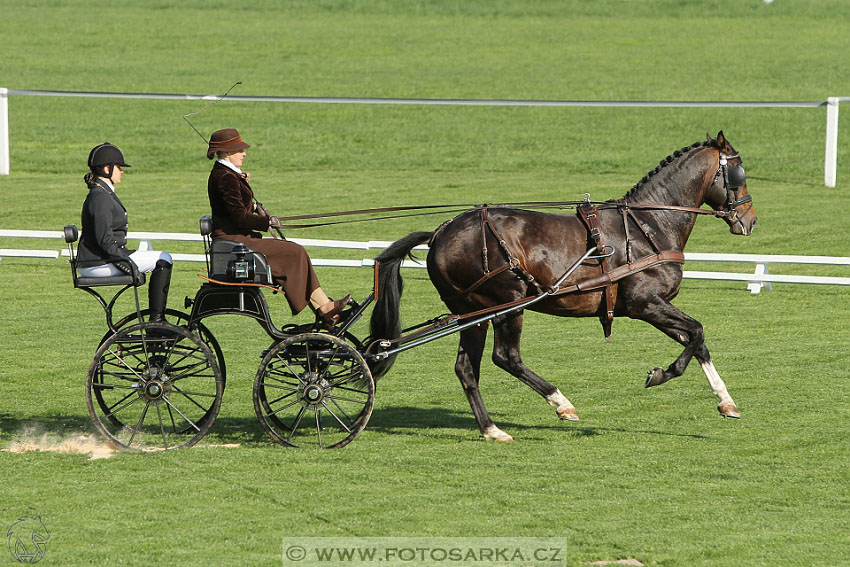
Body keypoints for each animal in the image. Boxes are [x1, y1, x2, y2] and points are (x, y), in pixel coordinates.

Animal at [372, 133, 756, 444]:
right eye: (739, 173)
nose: (750, 220)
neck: (648, 225)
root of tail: (440, 232)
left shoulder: (653, 307)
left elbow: (697, 340)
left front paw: (726, 401)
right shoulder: (645, 303)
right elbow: (696, 332)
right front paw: (660, 375)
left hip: (471, 313)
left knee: (467, 368)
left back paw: (491, 429)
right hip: (506, 304)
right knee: (506, 358)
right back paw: (561, 403)